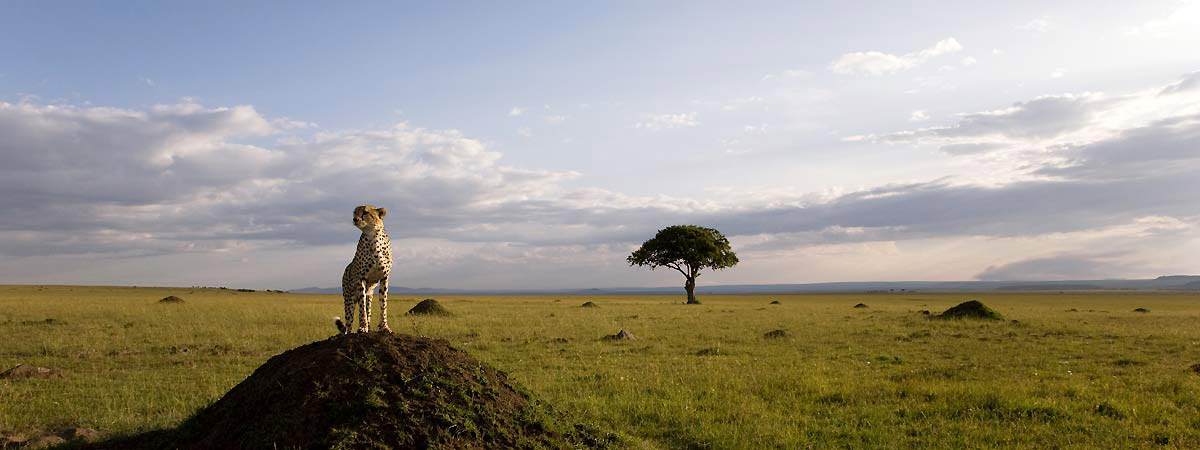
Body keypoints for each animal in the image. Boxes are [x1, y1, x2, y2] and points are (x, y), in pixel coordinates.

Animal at [333, 205, 393, 336]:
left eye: (365, 212)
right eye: (354, 212)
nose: (355, 219)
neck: (373, 236)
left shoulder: (384, 278)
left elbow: (383, 305)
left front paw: (384, 327)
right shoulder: (362, 278)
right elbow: (361, 309)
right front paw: (362, 327)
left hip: (369, 295)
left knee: (368, 308)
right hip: (349, 298)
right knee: (349, 321)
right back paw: (349, 332)